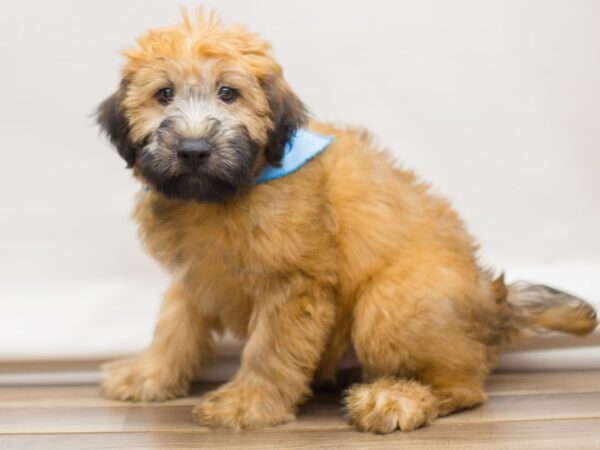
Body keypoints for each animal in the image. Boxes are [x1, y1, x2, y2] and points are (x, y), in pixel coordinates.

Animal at [96, 10, 596, 432]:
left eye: (228, 93)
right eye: (163, 94)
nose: (194, 150)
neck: (231, 190)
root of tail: (494, 303)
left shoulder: (295, 285)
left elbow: (269, 349)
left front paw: (248, 403)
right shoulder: (196, 272)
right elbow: (174, 325)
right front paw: (149, 374)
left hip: (393, 302)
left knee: (465, 385)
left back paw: (396, 399)